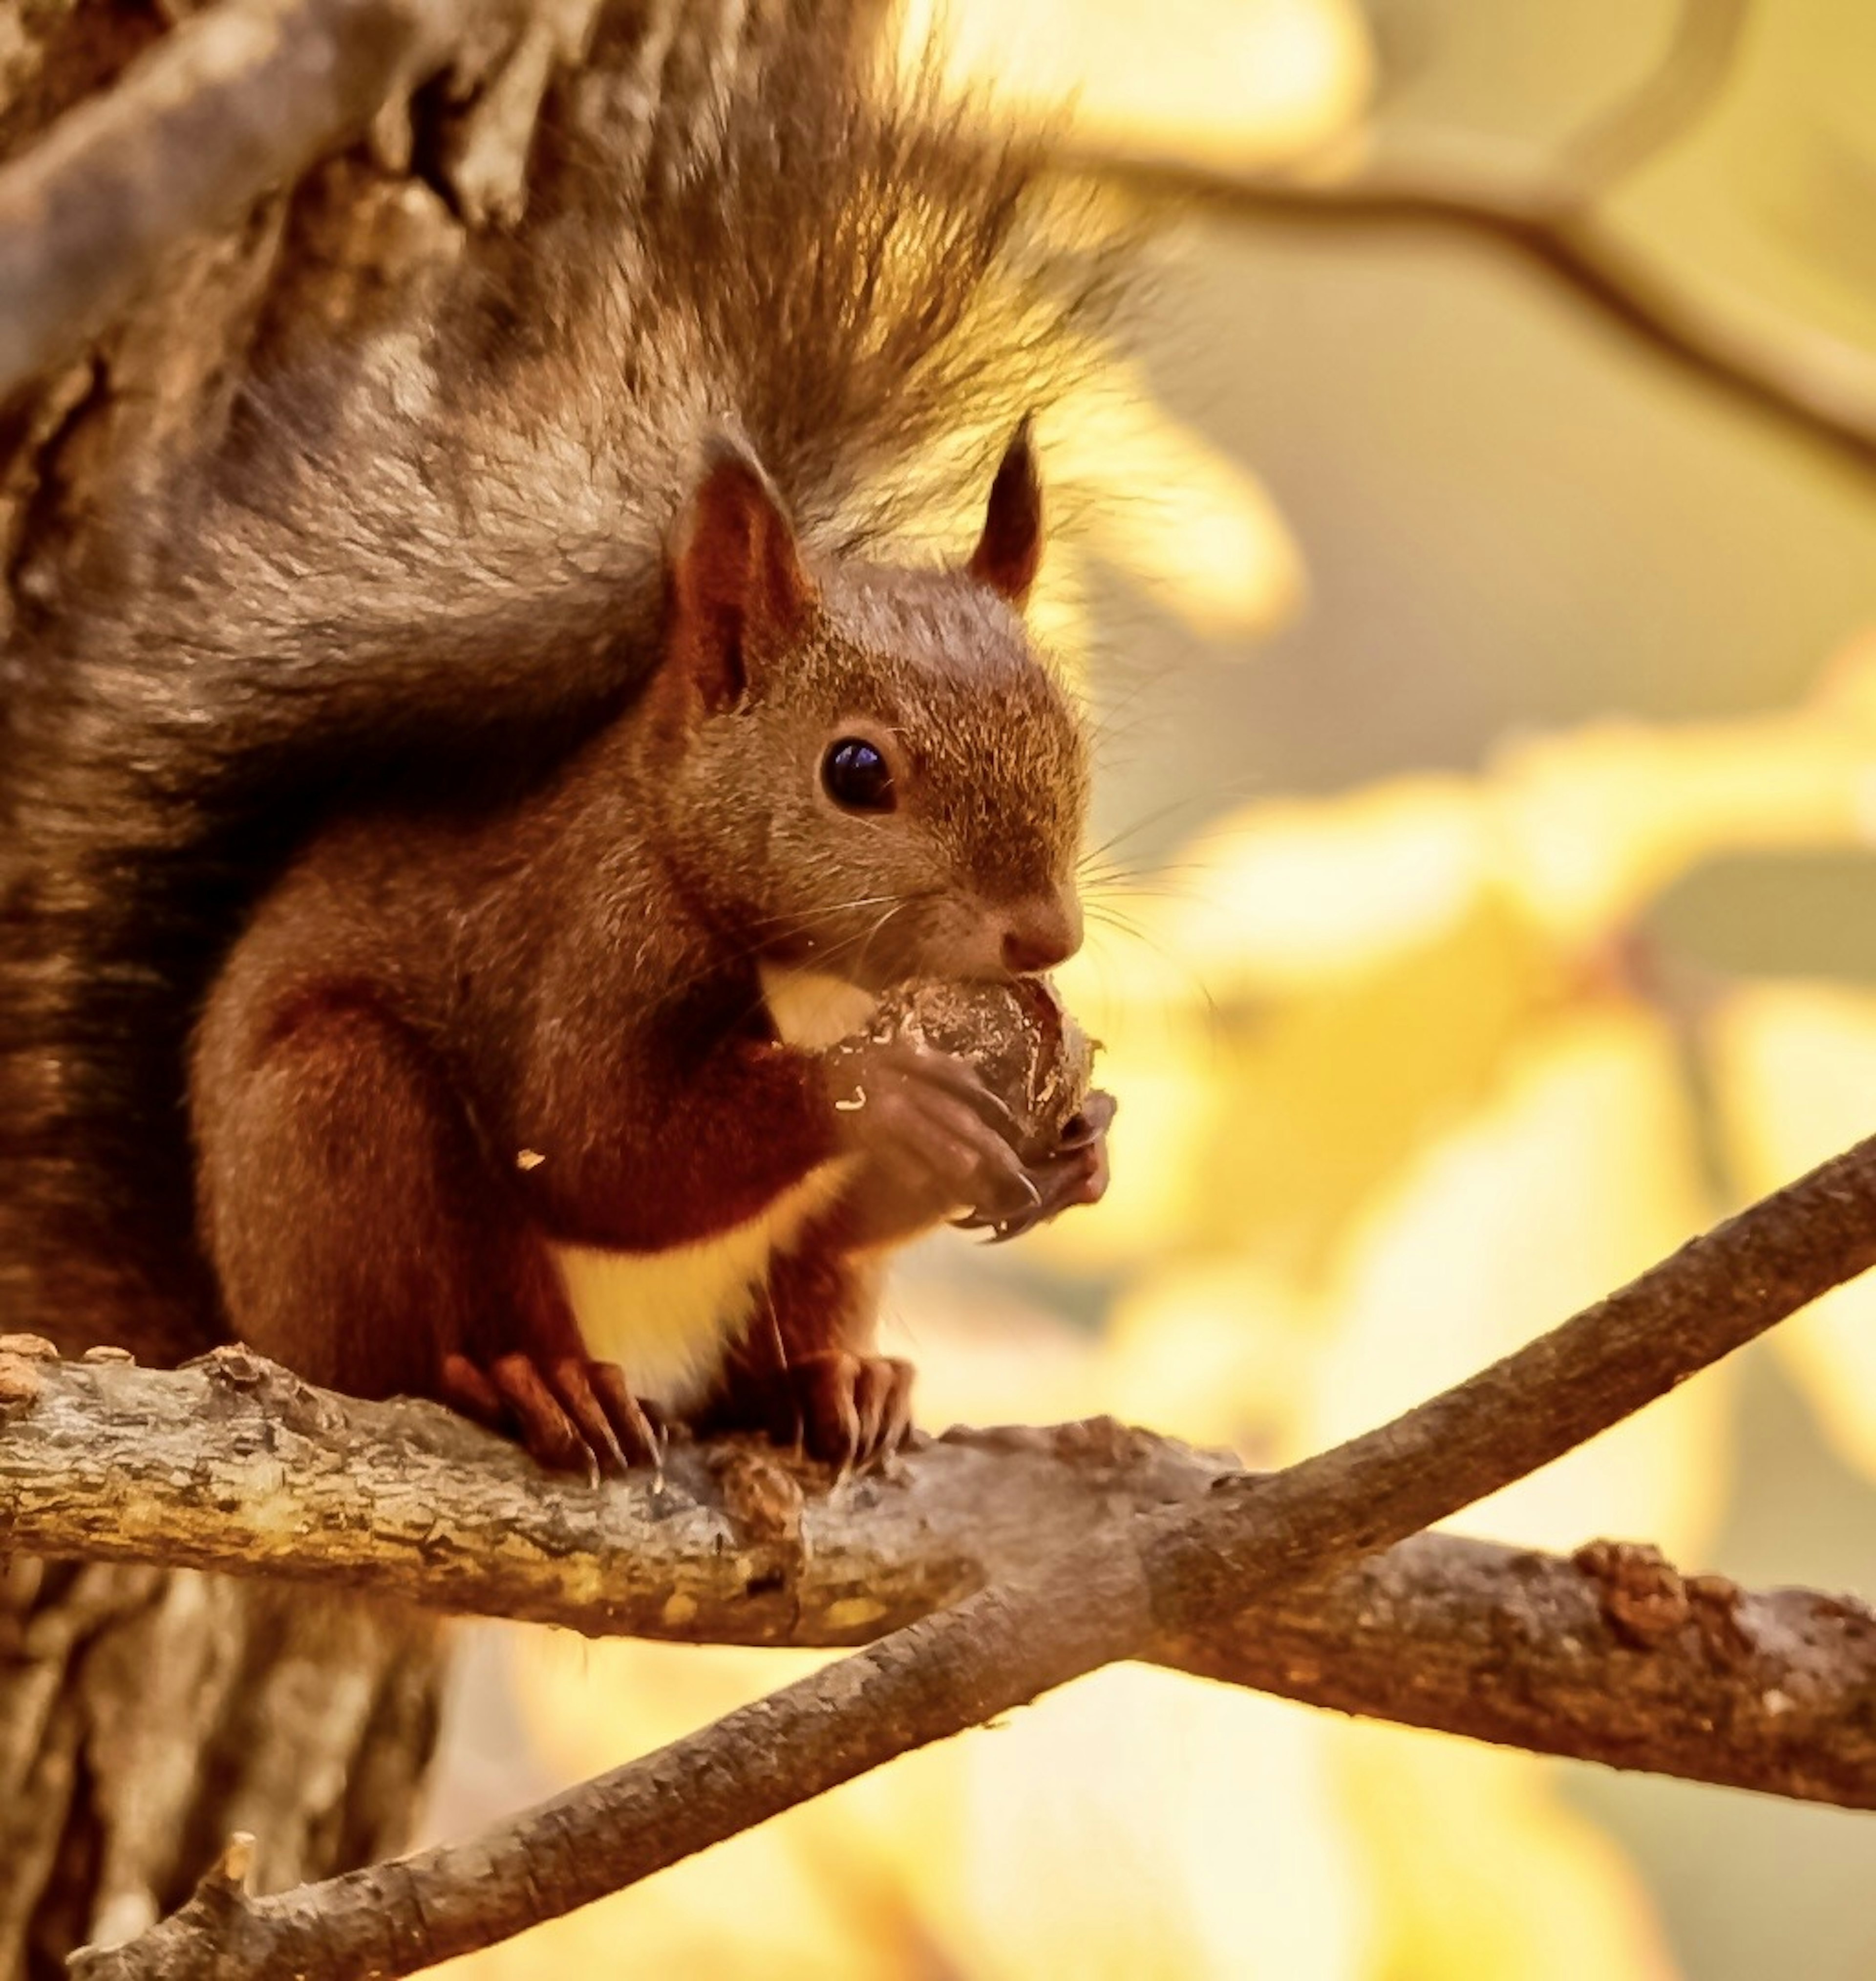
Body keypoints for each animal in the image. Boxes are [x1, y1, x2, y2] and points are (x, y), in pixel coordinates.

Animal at [0, 3, 1117, 1474]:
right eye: (855, 771)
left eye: (1070, 731)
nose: (1044, 935)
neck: (809, 967)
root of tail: (233, 1311)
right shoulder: (588, 942)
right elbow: (604, 1147)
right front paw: (879, 1091)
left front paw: (1082, 1138)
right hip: (341, 1131)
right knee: (412, 1336)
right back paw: (530, 1381)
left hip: (778, 1280)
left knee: (804, 1297)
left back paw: (834, 1382)